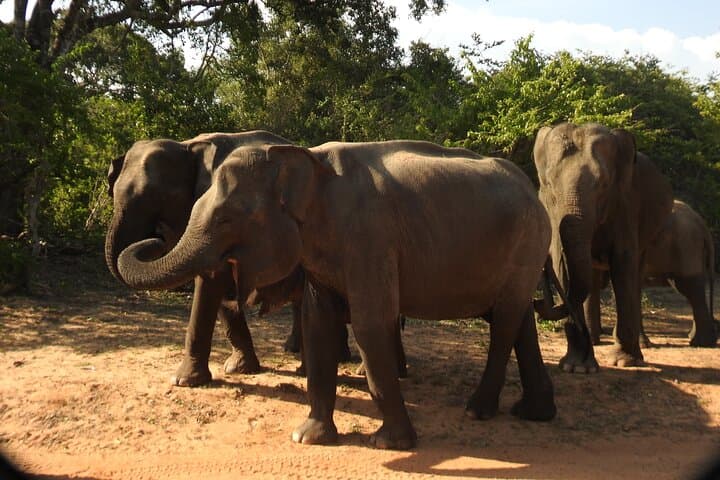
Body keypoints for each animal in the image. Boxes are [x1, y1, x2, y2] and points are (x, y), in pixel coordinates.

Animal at [105, 130, 293, 386]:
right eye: (112, 193)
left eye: (159, 196)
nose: (157, 238)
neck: (187, 146)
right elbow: (214, 278)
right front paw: (239, 369)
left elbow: (211, 278)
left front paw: (184, 381)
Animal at [534, 122, 673, 372]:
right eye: (548, 185)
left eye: (604, 185)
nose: (538, 302)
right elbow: (564, 265)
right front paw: (576, 367)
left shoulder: (625, 203)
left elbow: (623, 263)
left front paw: (624, 361)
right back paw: (595, 339)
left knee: (635, 276)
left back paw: (640, 346)